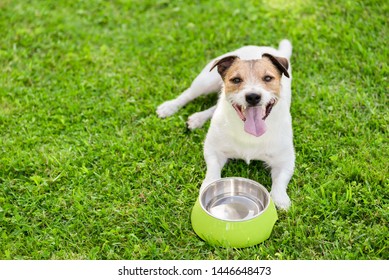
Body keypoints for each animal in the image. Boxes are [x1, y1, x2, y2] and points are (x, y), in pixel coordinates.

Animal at [156, 40, 292, 210]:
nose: (253, 97)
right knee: (189, 94)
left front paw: (280, 200)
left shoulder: (285, 160)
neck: (248, 133)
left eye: (268, 78)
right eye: (236, 80)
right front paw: (208, 186)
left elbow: (280, 181)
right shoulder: (213, 150)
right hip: (205, 81)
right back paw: (170, 107)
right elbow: (213, 171)